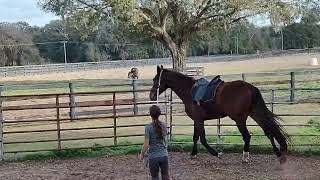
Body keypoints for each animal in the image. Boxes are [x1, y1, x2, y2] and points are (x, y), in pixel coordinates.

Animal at [150, 65, 290, 165]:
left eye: (155, 80)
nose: (151, 96)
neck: (189, 91)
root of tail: (250, 88)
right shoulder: (197, 120)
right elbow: (195, 137)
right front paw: (193, 154)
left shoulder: (199, 120)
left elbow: (203, 139)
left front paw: (217, 153)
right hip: (255, 114)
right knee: (269, 131)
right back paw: (278, 153)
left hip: (239, 119)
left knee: (247, 136)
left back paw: (245, 157)